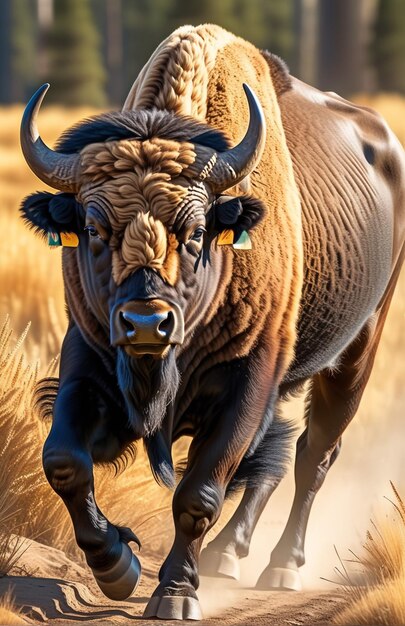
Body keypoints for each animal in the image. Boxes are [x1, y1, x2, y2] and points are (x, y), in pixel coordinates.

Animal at [20, 25, 402, 620]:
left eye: (197, 232)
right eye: (93, 228)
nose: (146, 324)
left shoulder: (251, 378)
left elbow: (200, 491)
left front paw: (175, 595)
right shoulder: (87, 358)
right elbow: (64, 459)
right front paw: (117, 568)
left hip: (357, 352)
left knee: (313, 454)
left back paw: (281, 567)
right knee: (276, 458)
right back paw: (228, 556)